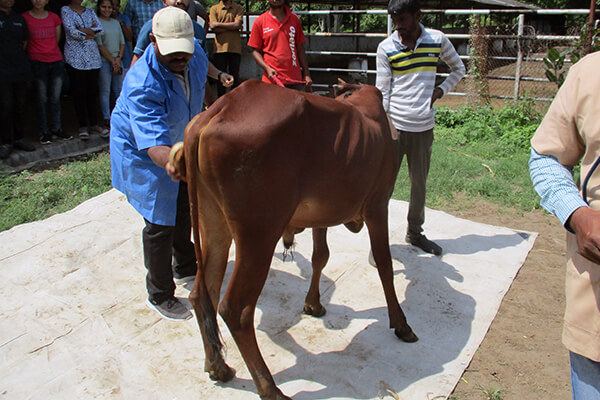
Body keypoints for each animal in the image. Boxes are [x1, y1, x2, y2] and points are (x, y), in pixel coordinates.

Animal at [170, 79, 418, 400]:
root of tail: (217, 110)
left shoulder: (321, 214)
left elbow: (320, 257)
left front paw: (313, 304)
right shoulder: (378, 204)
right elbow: (384, 264)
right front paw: (401, 323)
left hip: (213, 225)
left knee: (203, 294)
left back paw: (217, 366)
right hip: (259, 236)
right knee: (235, 309)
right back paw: (268, 387)